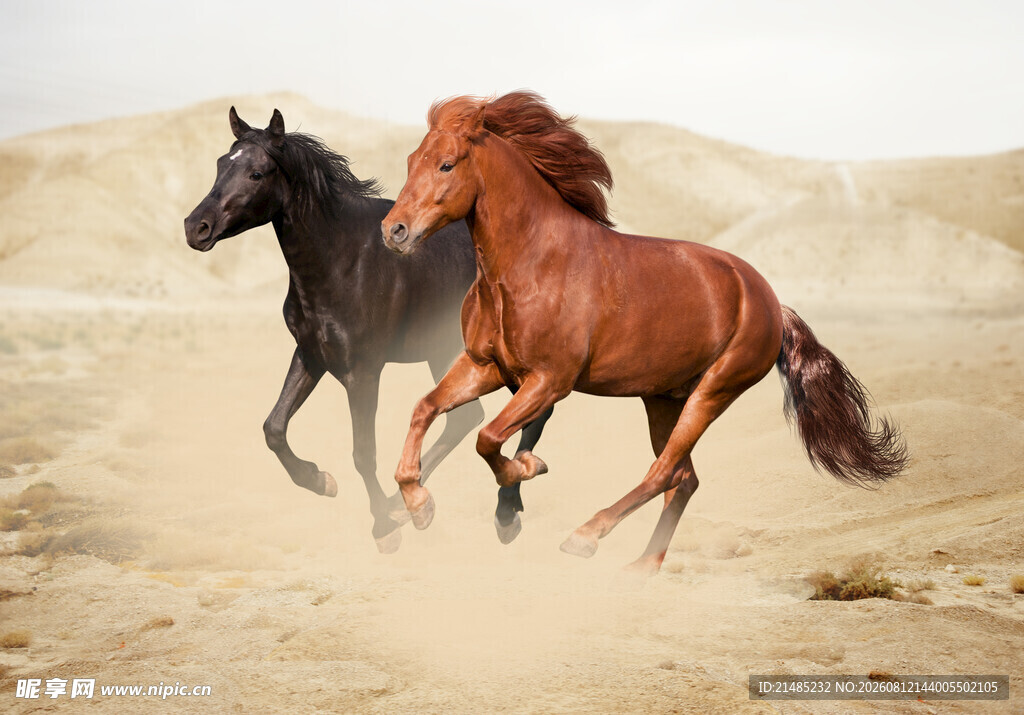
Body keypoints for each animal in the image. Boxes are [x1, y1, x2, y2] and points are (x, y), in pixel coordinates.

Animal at [183, 107, 552, 552]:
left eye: (256, 173)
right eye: (222, 163)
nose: (196, 227)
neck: (342, 262)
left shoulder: (363, 371)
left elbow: (364, 452)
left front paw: (383, 527)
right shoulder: (312, 355)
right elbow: (274, 428)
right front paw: (321, 481)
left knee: (521, 415)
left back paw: (495, 512)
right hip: (451, 355)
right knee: (478, 419)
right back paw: (425, 504)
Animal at [381, 91, 908, 573]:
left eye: (446, 164)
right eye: (410, 161)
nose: (394, 231)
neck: (530, 264)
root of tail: (771, 303)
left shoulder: (550, 380)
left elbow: (488, 438)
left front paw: (527, 469)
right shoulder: (485, 366)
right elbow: (425, 409)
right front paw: (418, 505)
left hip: (713, 391)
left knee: (663, 471)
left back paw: (586, 537)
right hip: (663, 399)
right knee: (684, 478)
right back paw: (644, 565)